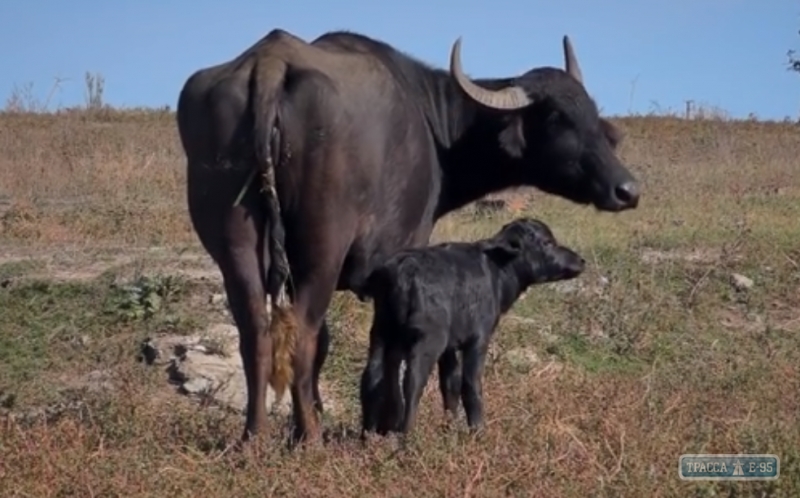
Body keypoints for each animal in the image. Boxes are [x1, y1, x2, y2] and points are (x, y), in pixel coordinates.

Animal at [360, 218, 584, 436]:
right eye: (547, 243)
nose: (580, 260)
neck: (497, 272)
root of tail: (401, 271)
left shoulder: (450, 348)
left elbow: (450, 384)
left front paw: (449, 429)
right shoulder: (478, 339)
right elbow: (470, 384)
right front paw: (477, 431)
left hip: (381, 330)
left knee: (373, 374)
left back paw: (370, 433)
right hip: (428, 339)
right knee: (412, 380)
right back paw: (406, 434)